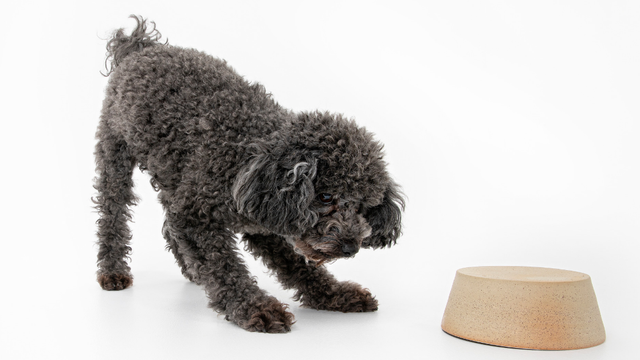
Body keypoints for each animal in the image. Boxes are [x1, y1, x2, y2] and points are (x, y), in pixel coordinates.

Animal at [94, 16, 404, 332]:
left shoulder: (262, 221)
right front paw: (255, 308)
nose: (351, 247)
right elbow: (224, 267)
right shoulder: (195, 214)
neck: (249, 156)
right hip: (114, 155)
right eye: (327, 197)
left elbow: (297, 266)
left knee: (167, 219)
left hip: (172, 173)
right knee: (113, 214)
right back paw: (113, 271)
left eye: (364, 206)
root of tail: (139, 47)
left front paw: (334, 295)